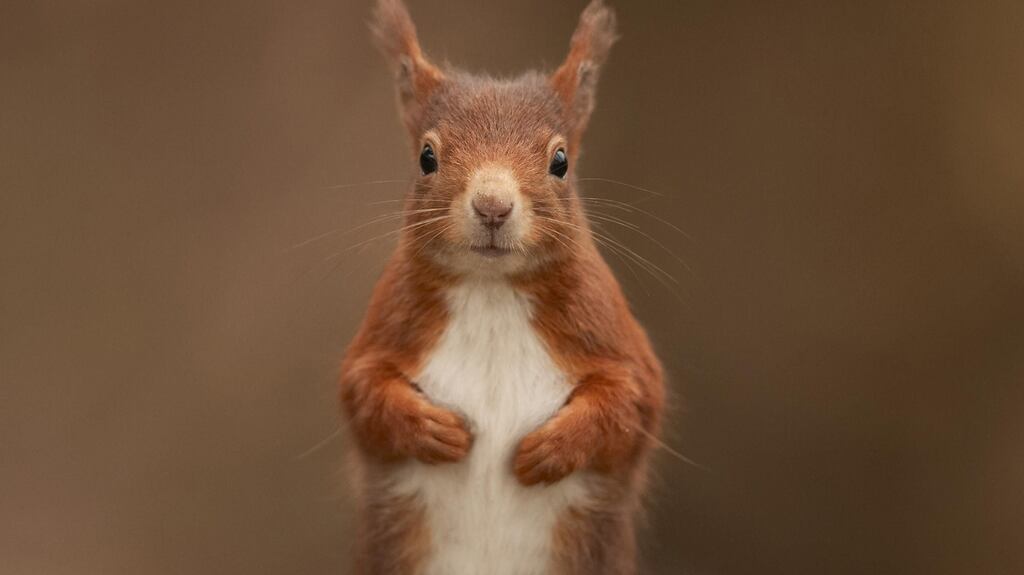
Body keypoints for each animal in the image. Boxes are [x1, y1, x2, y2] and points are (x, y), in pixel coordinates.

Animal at [339, 1, 666, 573]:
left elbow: (633, 401)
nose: (493, 205)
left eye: (561, 161)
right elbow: (362, 389)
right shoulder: (390, 321)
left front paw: (550, 449)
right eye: (426, 157)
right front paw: (431, 430)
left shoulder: (609, 330)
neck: (492, 292)